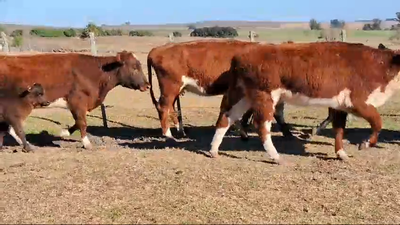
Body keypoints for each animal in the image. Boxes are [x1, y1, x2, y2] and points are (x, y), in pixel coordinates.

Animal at [147, 39, 294, 141]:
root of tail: (157, 49)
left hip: (174, 89)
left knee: (171, 108)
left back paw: (180, 131)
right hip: (170, 88)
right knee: (163, 107)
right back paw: (168, 135)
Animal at [208, 41, 400, 163]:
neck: (380, 66)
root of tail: (241, 56)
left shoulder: (340, 105)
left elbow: (339, 130)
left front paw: (341, 154)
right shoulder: (359, 102)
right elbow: (377, 123)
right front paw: (365, 144)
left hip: (242, 95)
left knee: (226, 117)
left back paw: (213, 150)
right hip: (265, 95)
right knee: (262, 126)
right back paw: (276, 157)